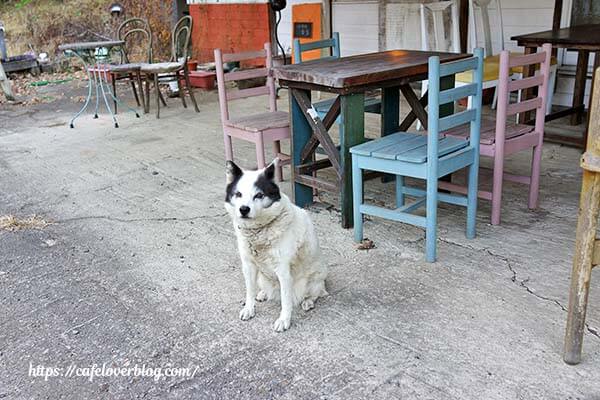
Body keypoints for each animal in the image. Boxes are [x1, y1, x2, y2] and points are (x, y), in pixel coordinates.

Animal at [225, 159, 328, 332]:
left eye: (259, 195)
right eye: (238, 194)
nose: (244, 209)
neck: (259, 230)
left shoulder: (283, 271)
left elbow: (286, 301)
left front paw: (284, 320)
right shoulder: (248, 265)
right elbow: (249, 290)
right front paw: (249, 308)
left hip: (314, 280)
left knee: (316, 293)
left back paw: (308, 301)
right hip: (262, 277)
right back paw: (263, 294)